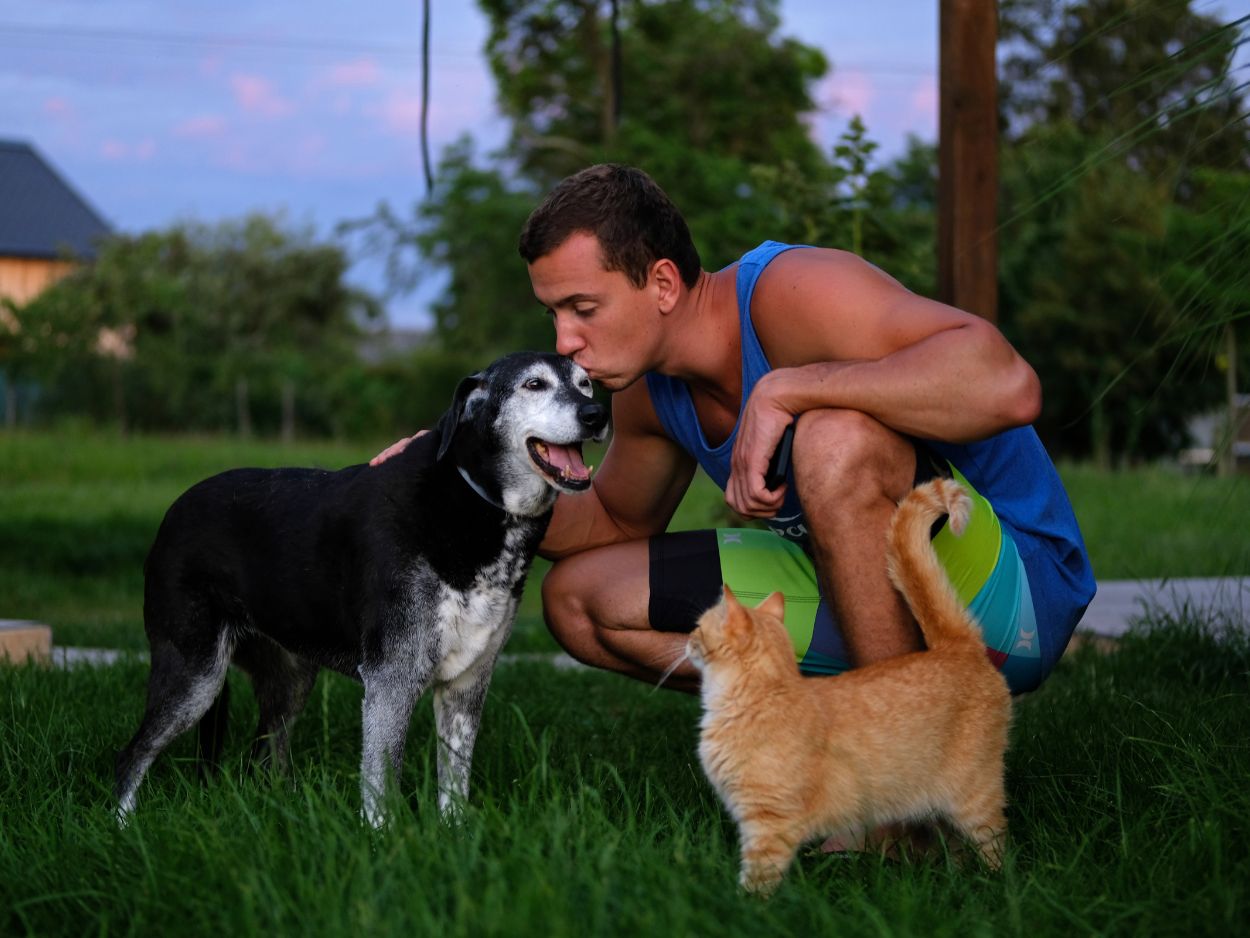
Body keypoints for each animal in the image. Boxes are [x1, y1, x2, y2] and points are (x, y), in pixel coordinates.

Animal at [117, 355, 610, 830]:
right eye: (534, 384)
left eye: (586, 383)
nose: (597, 414)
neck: (475, 501)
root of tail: (174, 510)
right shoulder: (392, 678)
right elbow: (380, 783)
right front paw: (380, 842)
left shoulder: (467, 684)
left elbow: (454, 782)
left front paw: (455, 837)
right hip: (195, 673)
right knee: (132, 754)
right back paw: (123, 826)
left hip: (290, 679)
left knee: (264, 755)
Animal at [690, 477, 1010, 895]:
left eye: (699, 626)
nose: (687, 638)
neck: (762, 696)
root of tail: (955, 645)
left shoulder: (769, 824)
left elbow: (757, 879)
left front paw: (741, 901)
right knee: (954, 847)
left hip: (973, 797)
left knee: (995, 843)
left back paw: (994, 885)